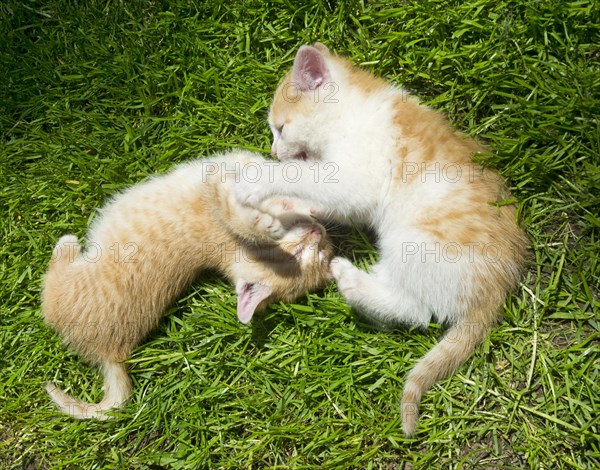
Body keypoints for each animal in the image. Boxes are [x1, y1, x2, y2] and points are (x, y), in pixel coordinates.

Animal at [42, 150, 332, 418]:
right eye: (308, 253)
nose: (318, 233)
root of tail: (112, 354)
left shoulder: (220, 197)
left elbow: (237, 208)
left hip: (65, 286)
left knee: (49, 290)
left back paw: (66, 244)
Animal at [237, 45, 528, 436]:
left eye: (280, 128)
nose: (272, 151)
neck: (353, 111)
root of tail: (498, 289)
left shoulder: (358, 175)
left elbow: (305, 174)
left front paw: (259, 180)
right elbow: (327, 196)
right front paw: (289, 205)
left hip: (415, 242)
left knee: (417, 310)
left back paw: (350, 281)